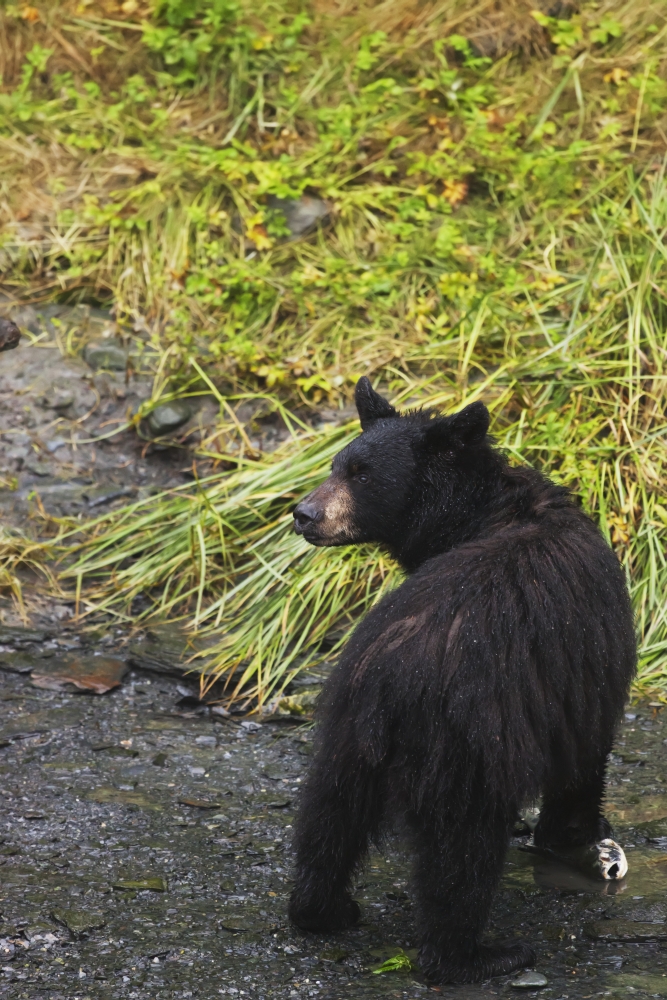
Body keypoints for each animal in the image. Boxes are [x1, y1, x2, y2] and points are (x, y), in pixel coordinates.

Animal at [288, 377, 636, 985]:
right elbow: (585, 749)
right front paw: (578, 835)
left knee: (328, 816)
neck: (478, 513)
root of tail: (389, 676)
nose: (304, 514)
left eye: (359, 473)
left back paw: (323, 910)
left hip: (346, 732)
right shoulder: (583, 665)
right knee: (461, 853)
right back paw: (479, 956)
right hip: (465, 744)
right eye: (341, 466)